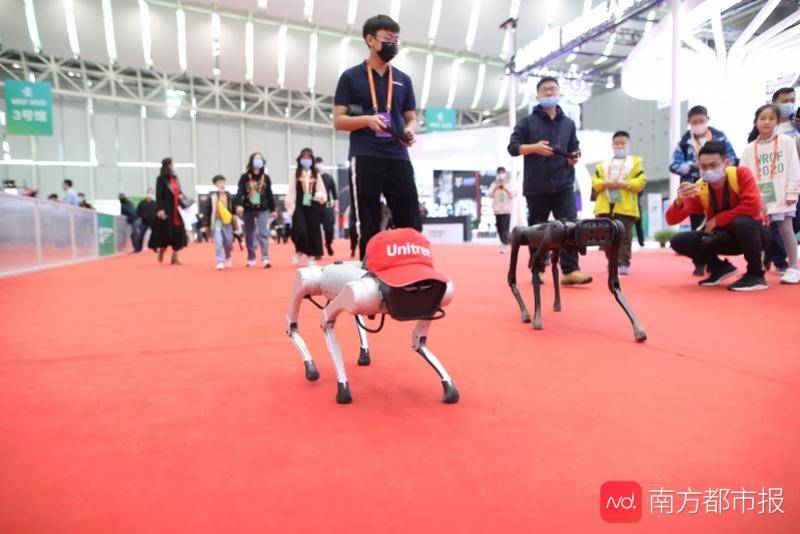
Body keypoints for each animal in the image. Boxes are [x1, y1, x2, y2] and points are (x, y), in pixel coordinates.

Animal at [290, 229, 460, 406]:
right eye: (413, 287)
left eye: (427, 286)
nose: (420, 288)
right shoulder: (356, 292)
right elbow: (326, 321)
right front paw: (342, 388)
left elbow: (419, 341)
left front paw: (448, 386)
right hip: (315, 282)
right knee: (297, 304)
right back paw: (309, 362)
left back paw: (363, 353)